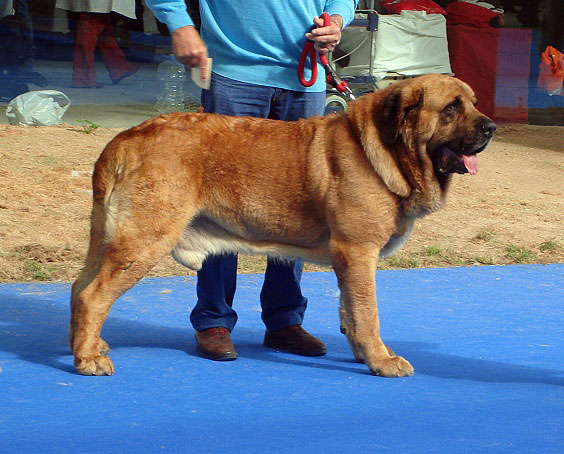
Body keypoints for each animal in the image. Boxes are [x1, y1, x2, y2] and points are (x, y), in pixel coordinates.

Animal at [69, 74, 494, 378]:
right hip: (142, 243)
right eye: (452, 108)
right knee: (93, 296)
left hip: (105, 241)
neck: (385, 149)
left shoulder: (349, 261)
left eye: (474, 103)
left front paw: (366, 354)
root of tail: (125, 139)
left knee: (79, 288)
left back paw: (84, 346)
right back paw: (89, 359)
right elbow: (368, 313)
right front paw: (382, 360)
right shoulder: (358, 253)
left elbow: (351, 313)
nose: (491, 128)